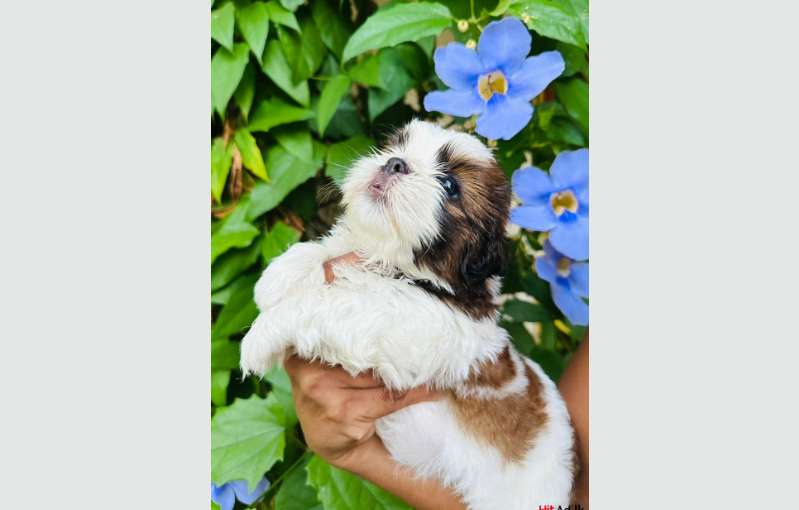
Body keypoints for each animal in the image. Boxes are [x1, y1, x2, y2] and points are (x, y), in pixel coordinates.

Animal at [241, 120, 580, 510]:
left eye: (449, 185)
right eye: (395, 147)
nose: (395, 164)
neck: (404, 269)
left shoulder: (402, 325)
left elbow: (330, 303)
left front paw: (262, 335)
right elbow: (333, 251)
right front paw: (281, 273)